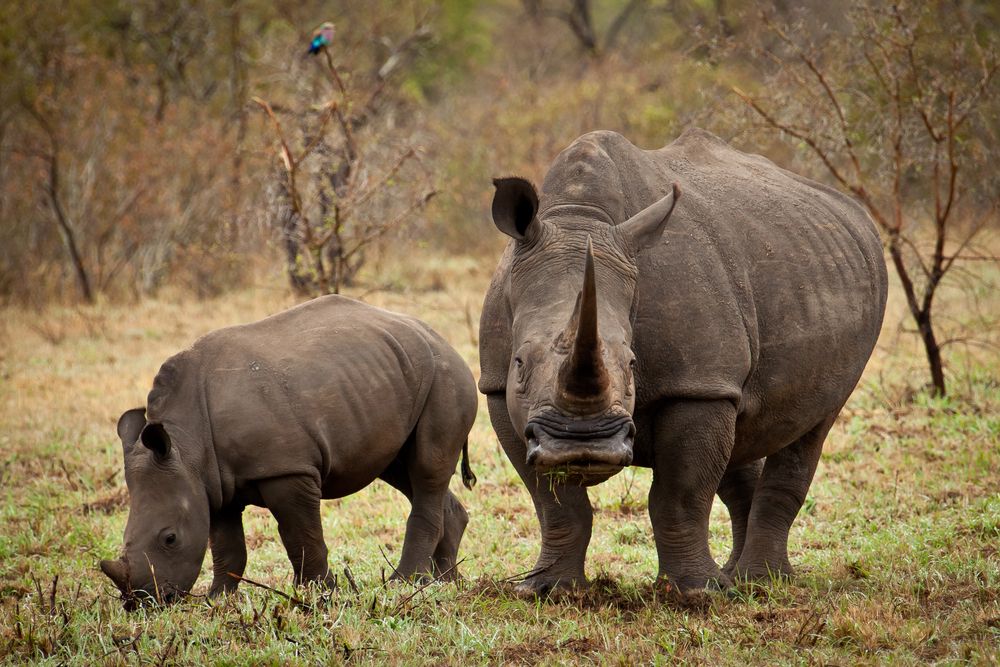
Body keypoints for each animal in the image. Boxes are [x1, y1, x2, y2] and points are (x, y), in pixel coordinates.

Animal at [101, 294, 476, 608]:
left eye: (170, 538)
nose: (142, 603)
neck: (186, 444)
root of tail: (441, 338)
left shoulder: (286, 469)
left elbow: (301, 534)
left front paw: (317, 592)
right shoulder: (212, 484)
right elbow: (226, 544)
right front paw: (219, 598)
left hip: (446, 377)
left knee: (426, 468)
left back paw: (405, 583)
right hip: (397, 376)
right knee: (403, 470)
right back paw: (446, 582)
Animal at [480, 129, 888, 596]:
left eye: (633, 363)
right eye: (520, 363)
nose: (582, 444)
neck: (581, 219)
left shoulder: (697, 384)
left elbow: (679, 495)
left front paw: (694, 594)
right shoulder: (498, 389)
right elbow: (555, 504)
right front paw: (548, 591)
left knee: (812, 425)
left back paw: (761, 583)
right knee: (741, 434)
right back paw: (735, 578)